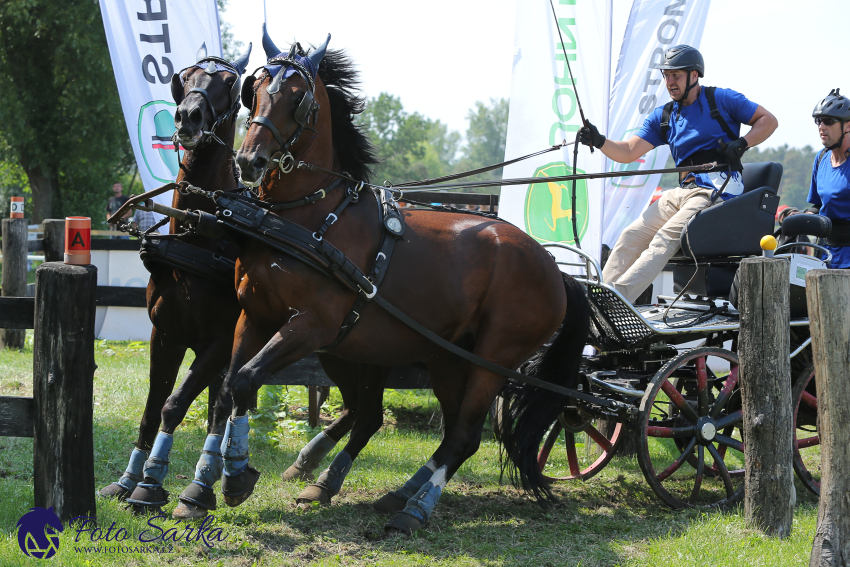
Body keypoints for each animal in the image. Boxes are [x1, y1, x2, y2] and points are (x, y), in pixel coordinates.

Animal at [222, 36, 588, 536]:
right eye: (253, 89)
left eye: (298, 97)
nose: (249, 160)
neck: (308, 219)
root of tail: (556, 269)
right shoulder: (257, 315)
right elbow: (231, 383)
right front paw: (202, 488)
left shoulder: (312, 326)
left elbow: (247, 379)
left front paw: (234, 477)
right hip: (443, 358)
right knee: (440, 428)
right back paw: (394, 492)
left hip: (494, 358)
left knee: (463, 433)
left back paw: (414, 508)